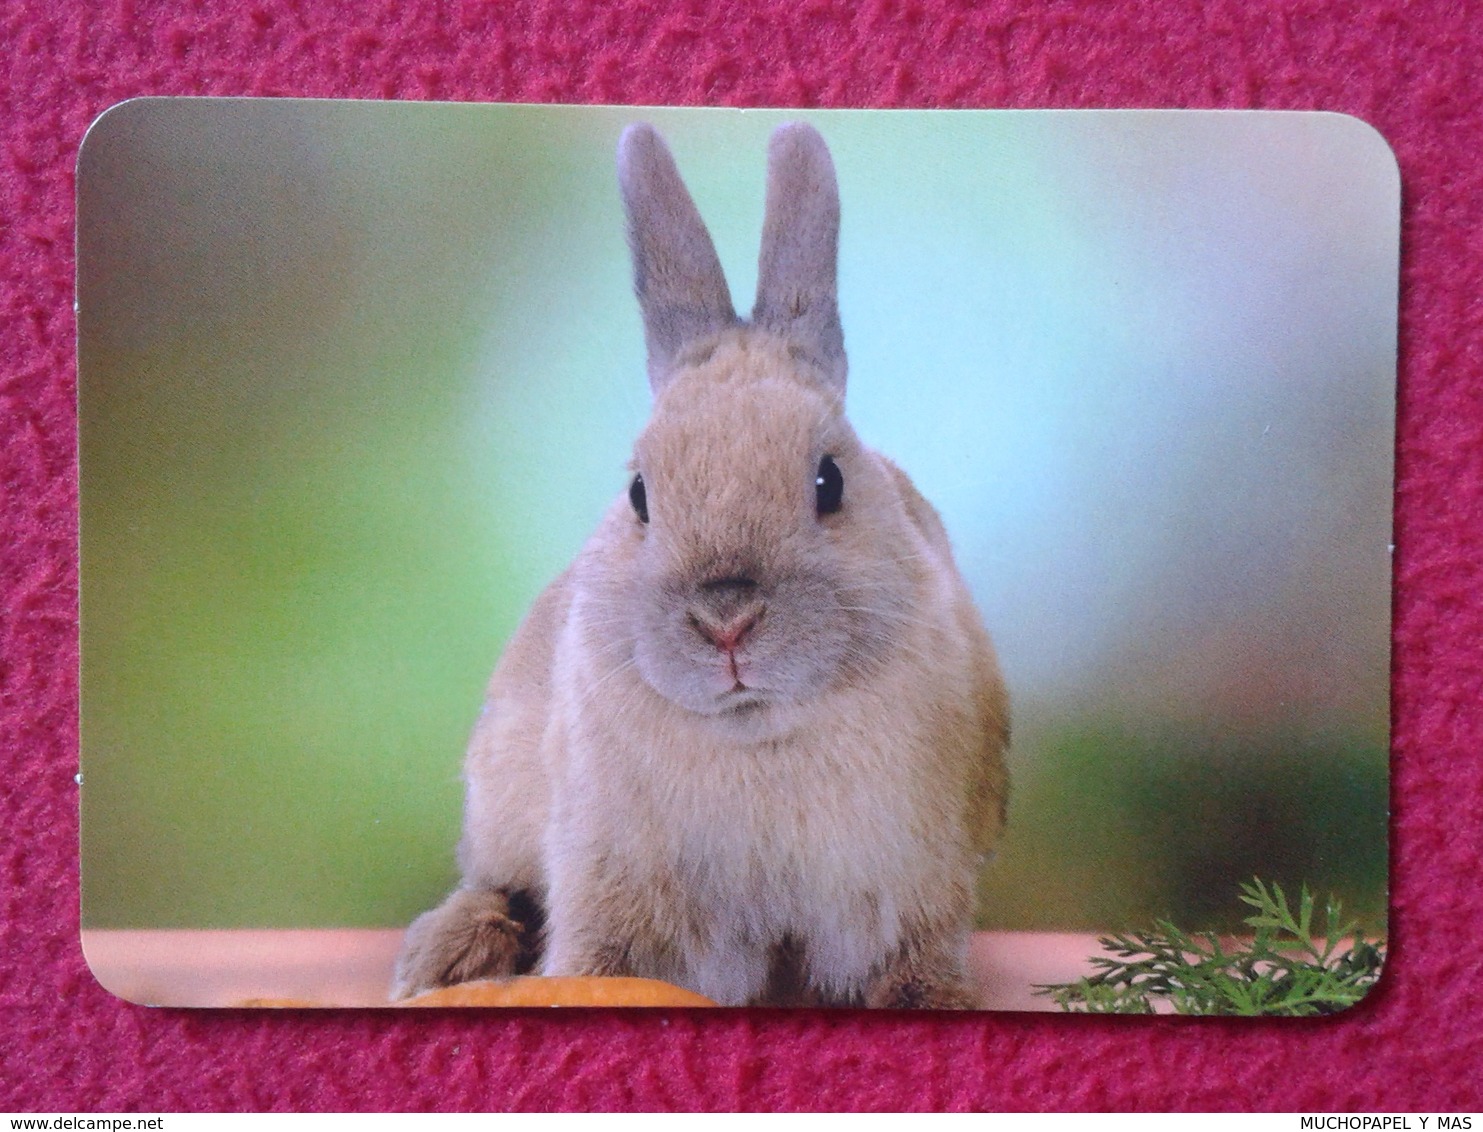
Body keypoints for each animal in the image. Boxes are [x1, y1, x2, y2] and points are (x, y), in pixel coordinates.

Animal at [388, 123, 1008, 1008]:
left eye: (828, 482)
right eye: (640, 494)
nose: (726, 620)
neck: (757, 736)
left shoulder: (912, 889)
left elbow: (915, 975)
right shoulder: (609, 881)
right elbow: (594, 963)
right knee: (494, 883)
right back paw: (444, 957)